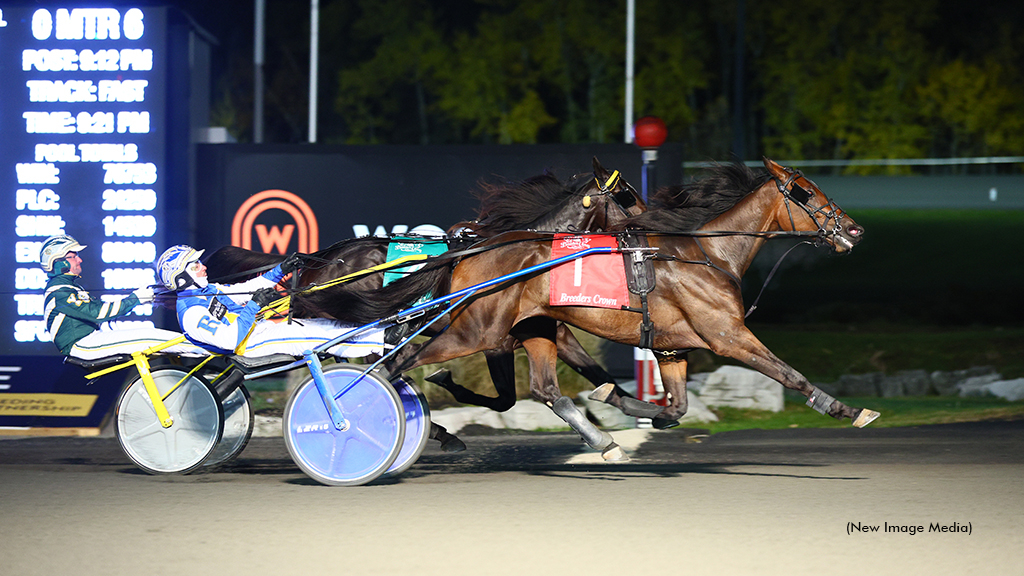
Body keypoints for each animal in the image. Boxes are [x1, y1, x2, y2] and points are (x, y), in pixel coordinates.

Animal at [354, 156, 880, 457]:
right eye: (806, 193)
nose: (854, 230)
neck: (708, 253)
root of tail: (472, 250)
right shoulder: (727, 335)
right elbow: (788, 373)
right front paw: (846, 408)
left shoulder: (671, 348)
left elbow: (676, 407)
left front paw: (622, 402)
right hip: (477, 330)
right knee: (399, 361)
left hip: (532, 327)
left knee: (545, 389)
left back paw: (601, 440)